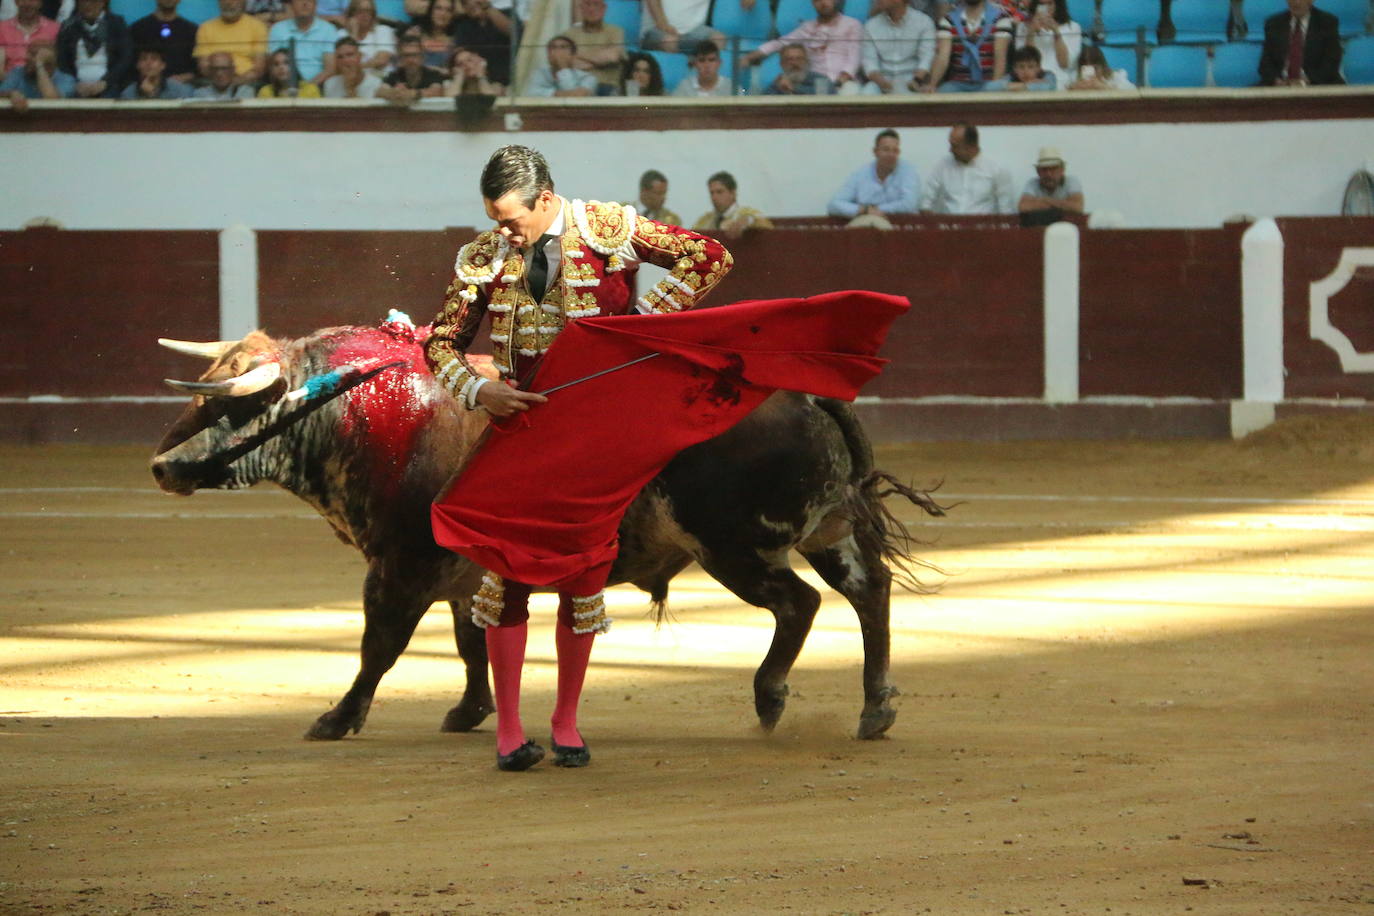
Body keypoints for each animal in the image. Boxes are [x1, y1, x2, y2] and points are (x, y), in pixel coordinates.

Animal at [150, 315, 945, 747]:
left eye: (226, 407)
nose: (160, 466)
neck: (359, 411)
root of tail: (803, 392)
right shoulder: (461, 571)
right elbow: (471, 643)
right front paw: (470, 711)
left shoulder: (398, 567)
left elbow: (380, 648)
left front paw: (337, 718)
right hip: (826, 531)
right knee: (869, 592)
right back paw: (876, 707)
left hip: (733, 546)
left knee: (798, 604)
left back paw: (771, 698)